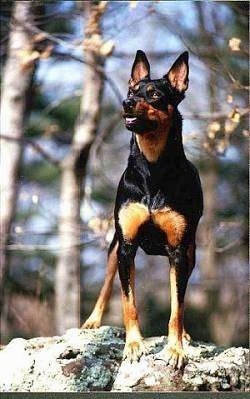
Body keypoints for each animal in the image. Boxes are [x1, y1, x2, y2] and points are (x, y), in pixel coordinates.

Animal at [83, 51, 204, 370]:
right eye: (132, 90)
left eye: (154, 94)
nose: (126, 103)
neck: (152, 169)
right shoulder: (126, 245)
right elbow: (129, 303)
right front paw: (134, 346)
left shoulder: (178, 250)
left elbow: (177, 307)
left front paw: (175, 349)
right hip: (116, 248)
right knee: (109, 283)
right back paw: (92, 322)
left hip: (190, 253)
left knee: (180, 296)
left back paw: (186, 335)